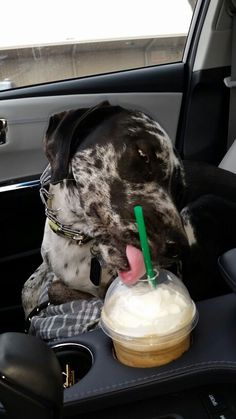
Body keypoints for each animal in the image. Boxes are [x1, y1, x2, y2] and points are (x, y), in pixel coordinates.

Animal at [21, 101, 236, 318]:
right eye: (143, 154)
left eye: (179, 191)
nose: (178, 249)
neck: (76, 235)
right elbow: (29, 288)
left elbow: (59, 290)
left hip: (202, 205)